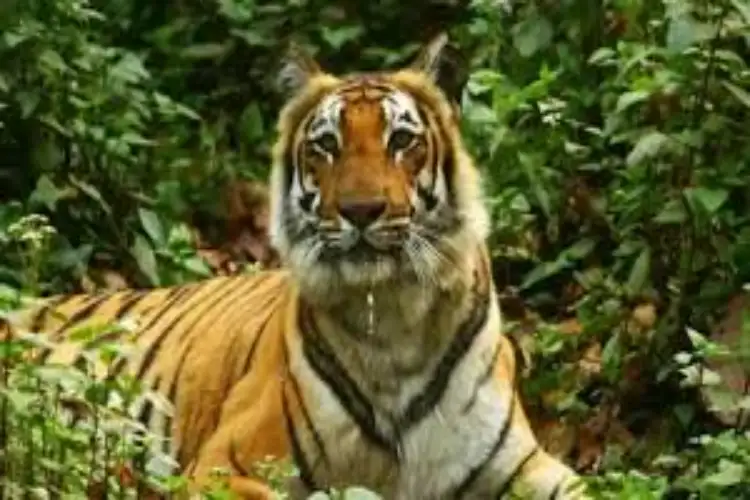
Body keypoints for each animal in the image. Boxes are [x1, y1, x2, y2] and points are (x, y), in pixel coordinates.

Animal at [2, 34, 589, 499]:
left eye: (402, 140)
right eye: (326, 145)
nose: (360, 210)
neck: (392, 317)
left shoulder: (525, 466)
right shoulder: (226, 465)